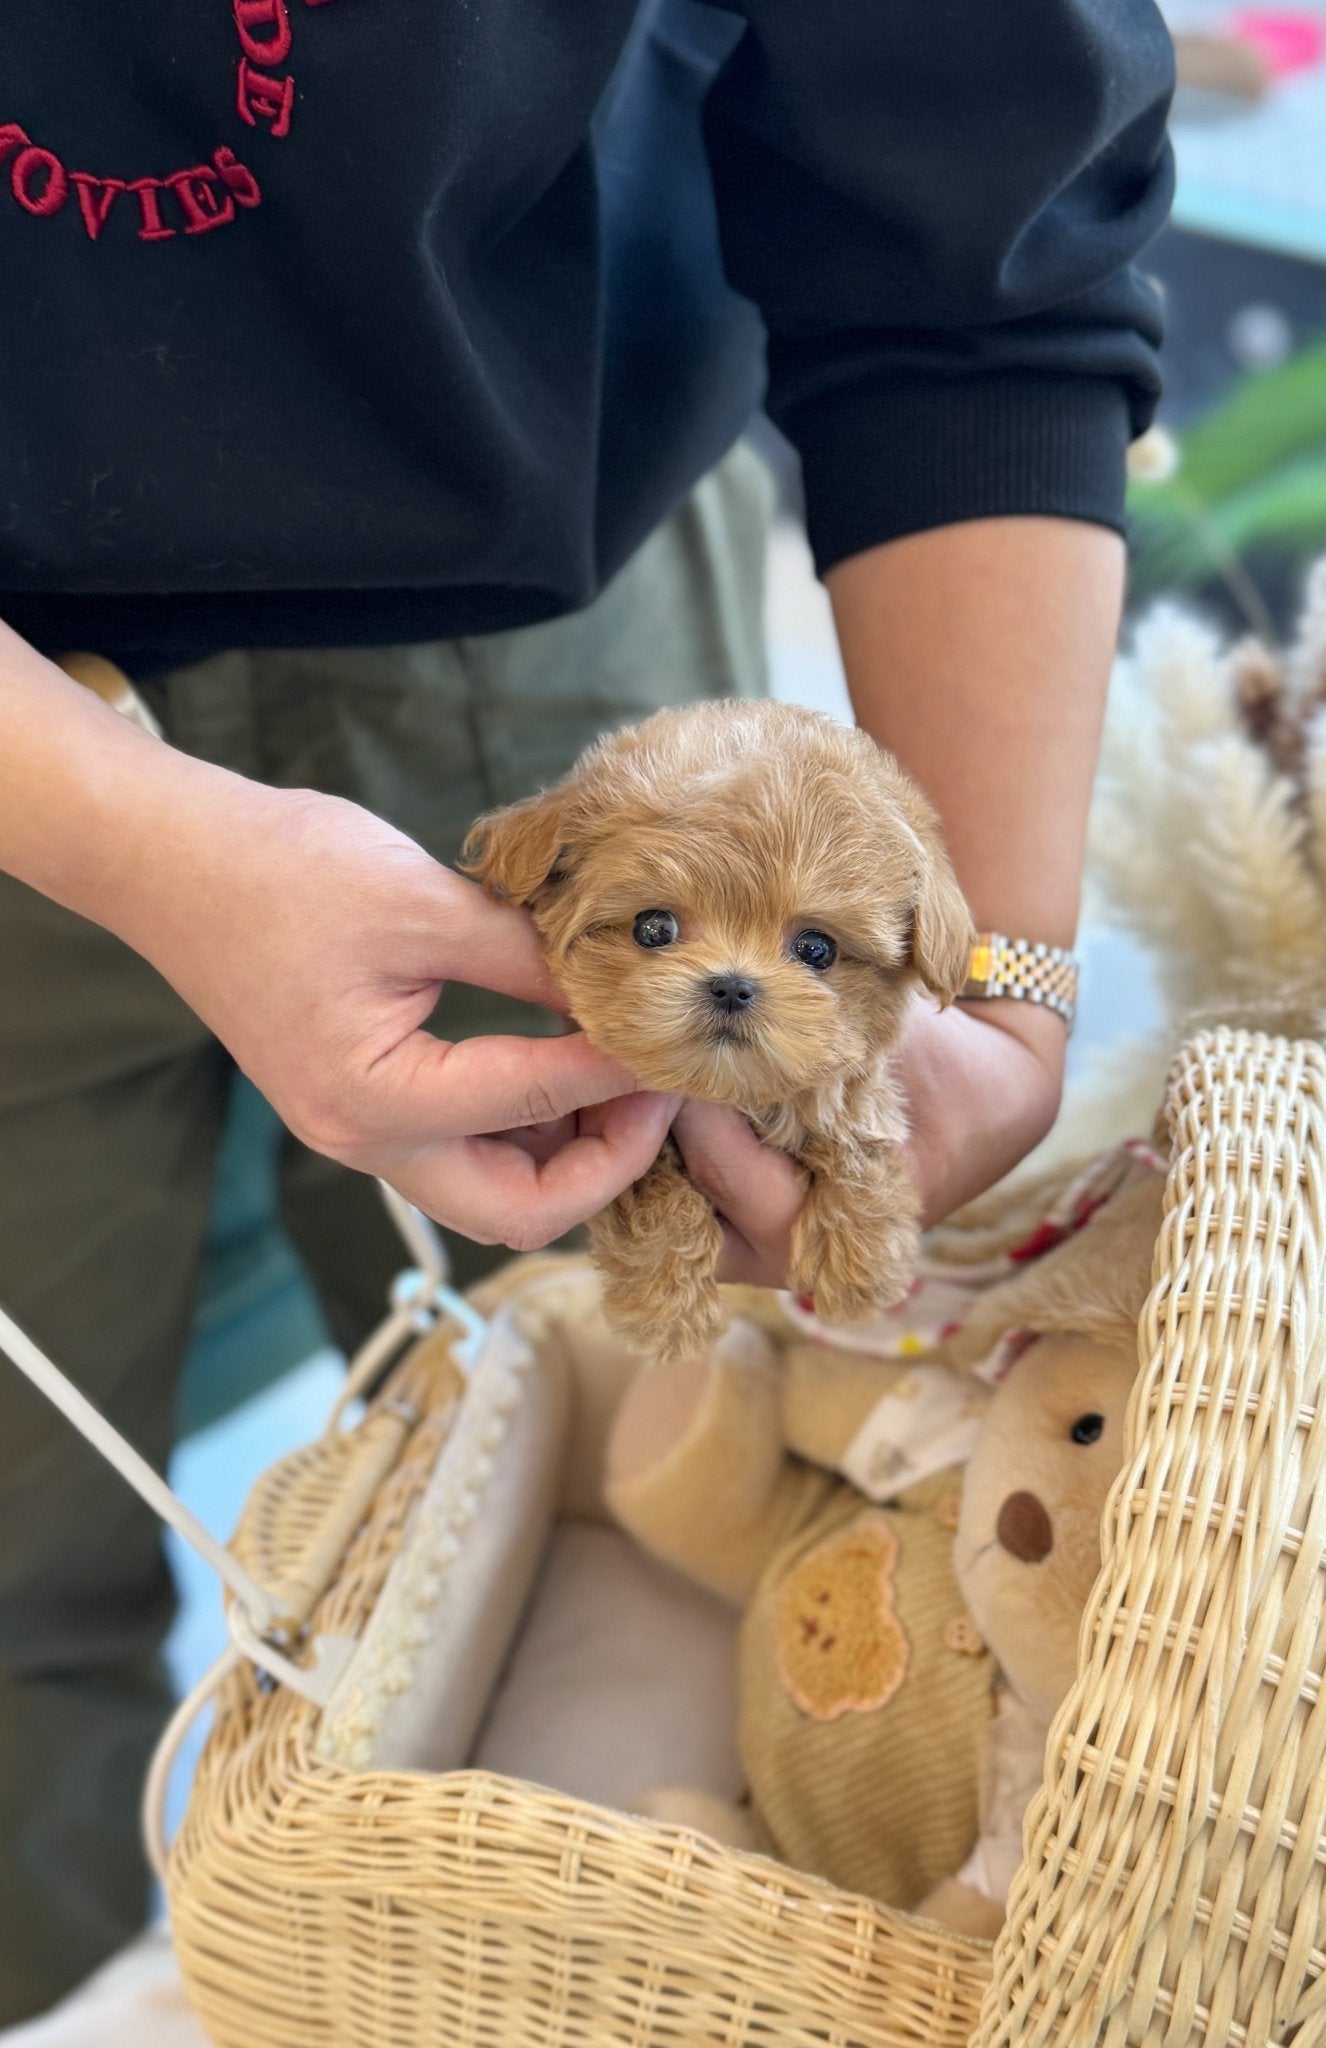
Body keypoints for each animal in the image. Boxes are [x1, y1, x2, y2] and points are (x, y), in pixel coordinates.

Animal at [467, 700, 975, 1359]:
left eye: (816, 948)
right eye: (653, 928)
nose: (732, 986)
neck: (731, 1094)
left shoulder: (853, 1087)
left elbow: (854, 1132)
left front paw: (860, 1260)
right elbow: (657, 1198)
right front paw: (667, 1309)